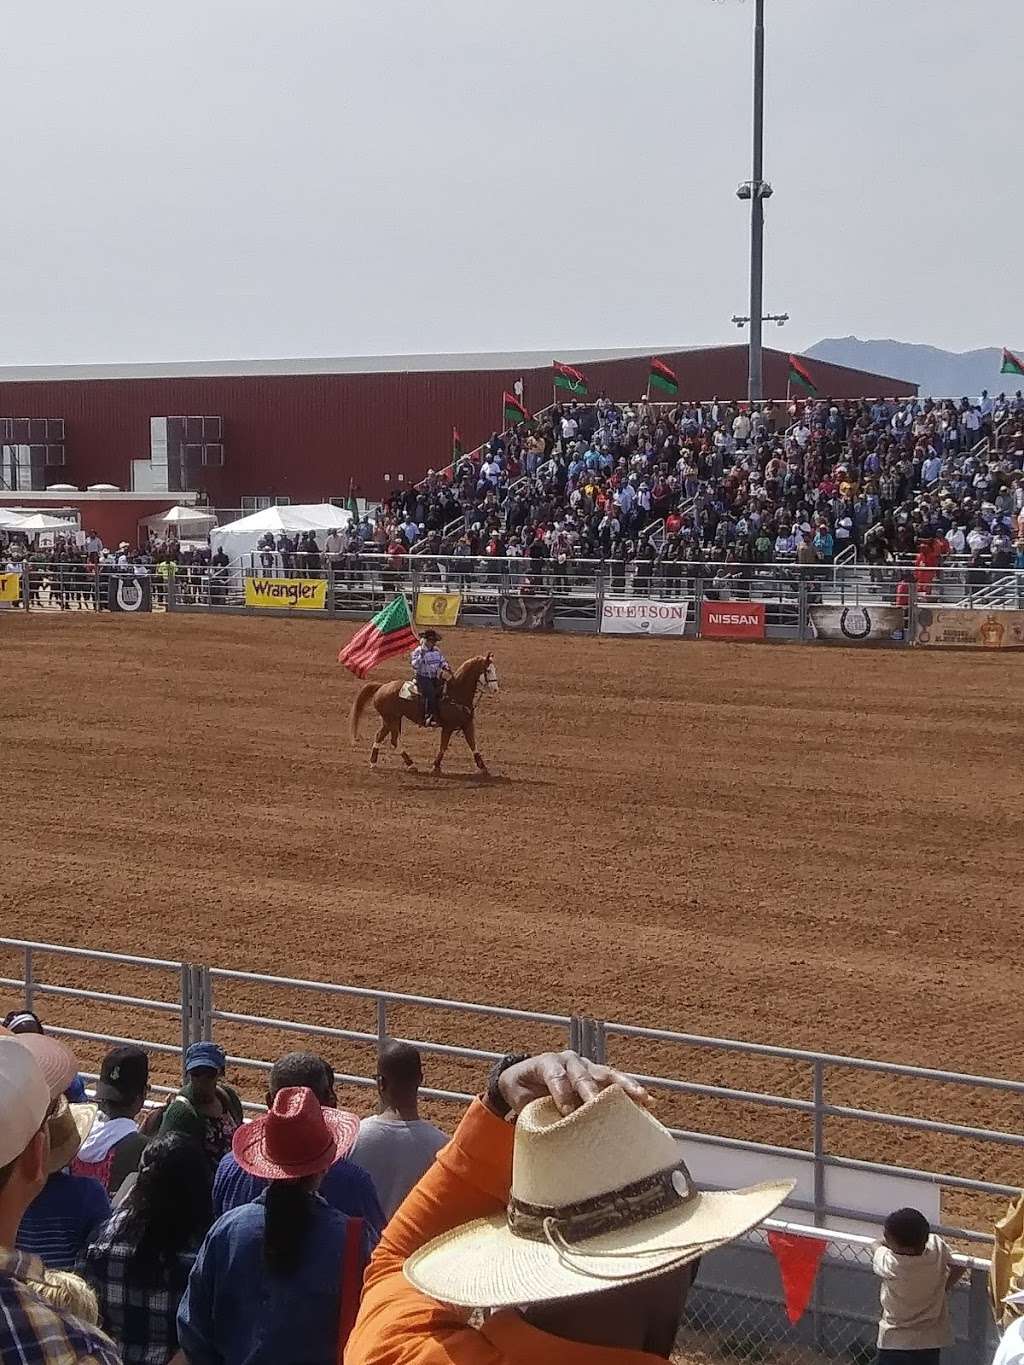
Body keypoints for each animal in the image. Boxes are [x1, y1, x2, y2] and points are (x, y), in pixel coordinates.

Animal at [349, 652, 502, 775]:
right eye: (488, 670)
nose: (495, 689)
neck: (455, 694)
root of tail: (382, 687)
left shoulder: (467, 724)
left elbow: (473, 745)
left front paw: (483, 768)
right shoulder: (448, 727)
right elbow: (443, 747)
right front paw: (436, 767)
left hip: (391, 719)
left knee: (382, 737)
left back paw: (375, 763)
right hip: (391, 719)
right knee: (393, 740)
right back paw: (410, 765)